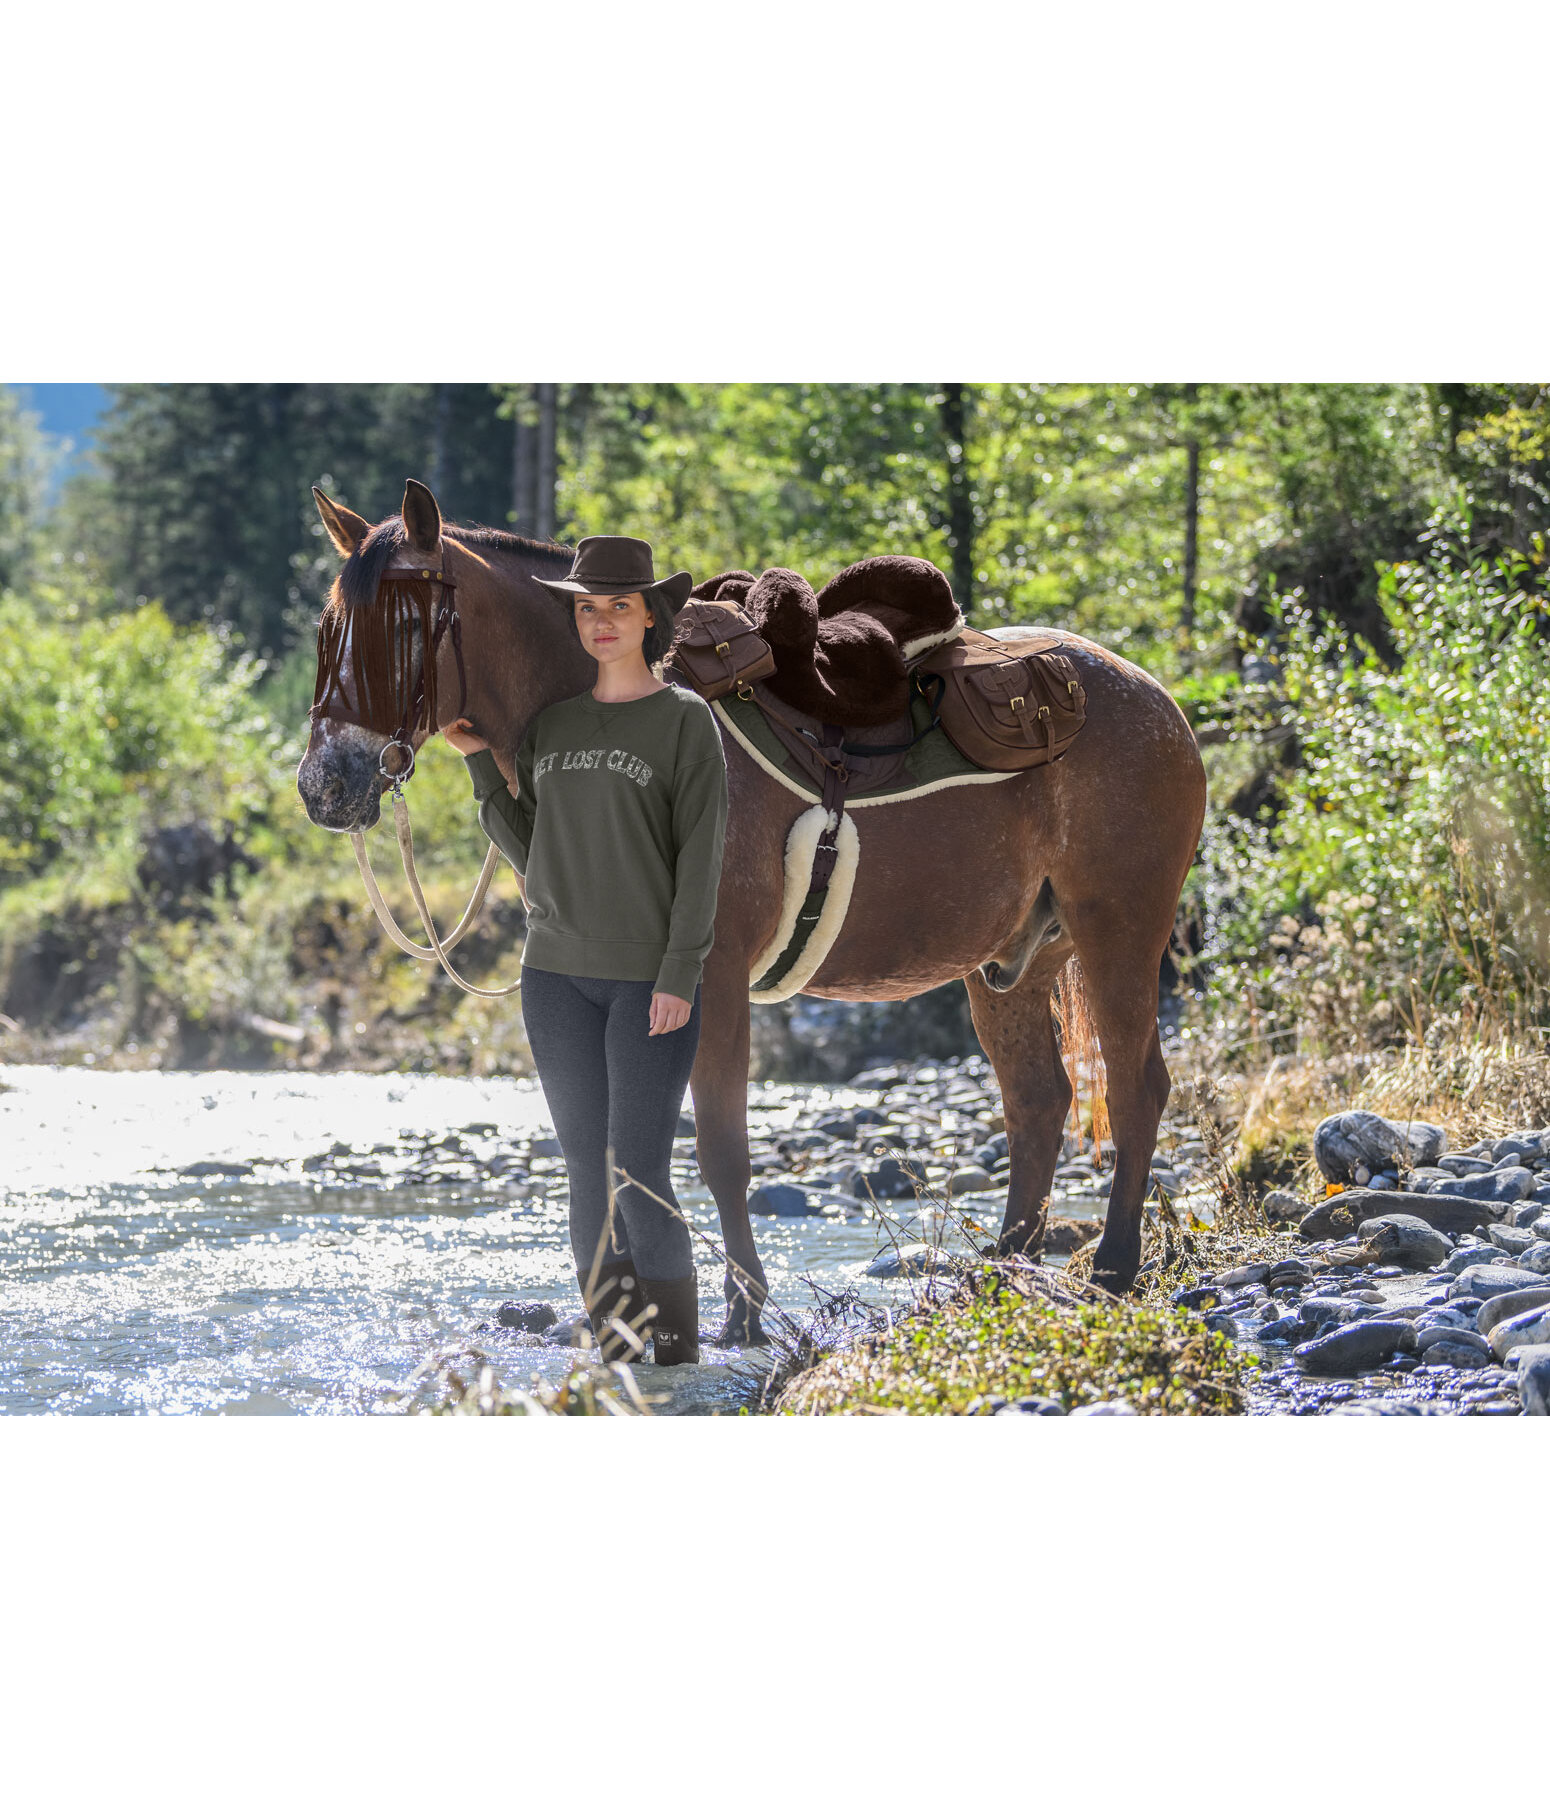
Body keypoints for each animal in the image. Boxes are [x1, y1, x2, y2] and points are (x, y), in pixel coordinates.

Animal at [293, 486, 1209, 1346]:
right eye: (329, 629)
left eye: (401, 630)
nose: (322, 787)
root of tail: (1157, 699)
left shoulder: (714, 979)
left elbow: (721, 1151)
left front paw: (742, 1314)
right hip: (1011, 966)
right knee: (1039, 1102)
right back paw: (1003, 1270)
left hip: (1120, 932)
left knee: (1136, 1088)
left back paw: (1114, 1267)